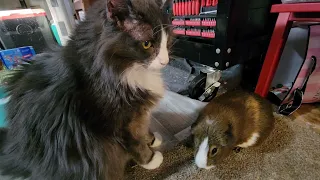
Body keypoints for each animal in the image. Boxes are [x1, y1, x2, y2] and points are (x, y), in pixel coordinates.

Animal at [0, 0, 172, 179]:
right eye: (147, 44)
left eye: (167, 42)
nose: (166, 61)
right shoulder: (117, 122)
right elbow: (135, 143)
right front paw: (151, 160)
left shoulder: (137, 114)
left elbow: (143, 128)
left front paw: (153, 140)